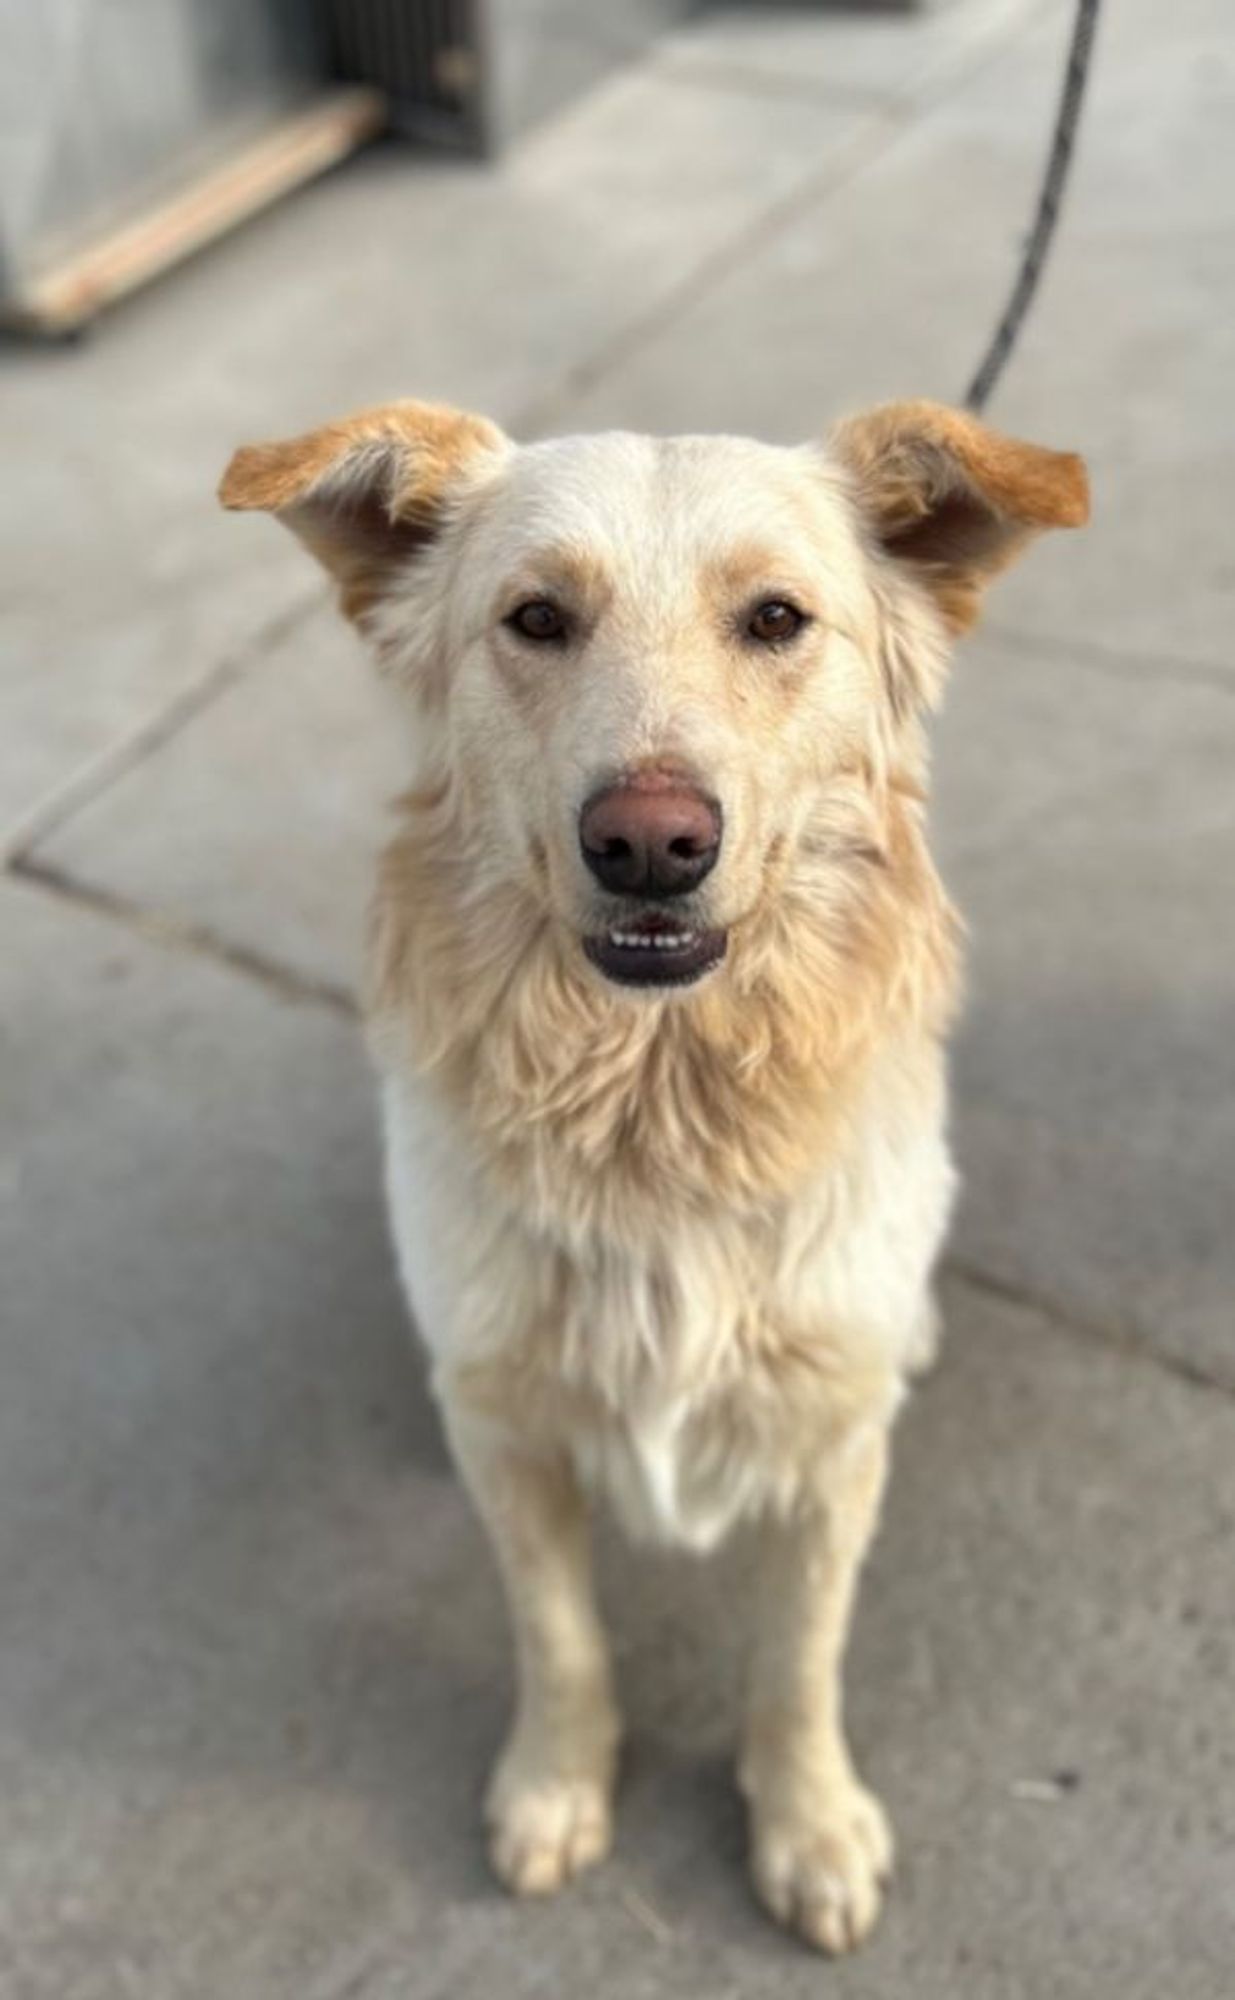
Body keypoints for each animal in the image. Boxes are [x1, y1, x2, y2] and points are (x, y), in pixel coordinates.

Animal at [218, 406, 1079, 1952]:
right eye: (534, 619)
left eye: (776, 618)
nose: (648, 843)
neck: (655, 1107)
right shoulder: (505, 1433)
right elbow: (558, 1635)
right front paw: (556, 1787)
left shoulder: (830, 1451)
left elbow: (795, 1659)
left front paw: (806, 1824)